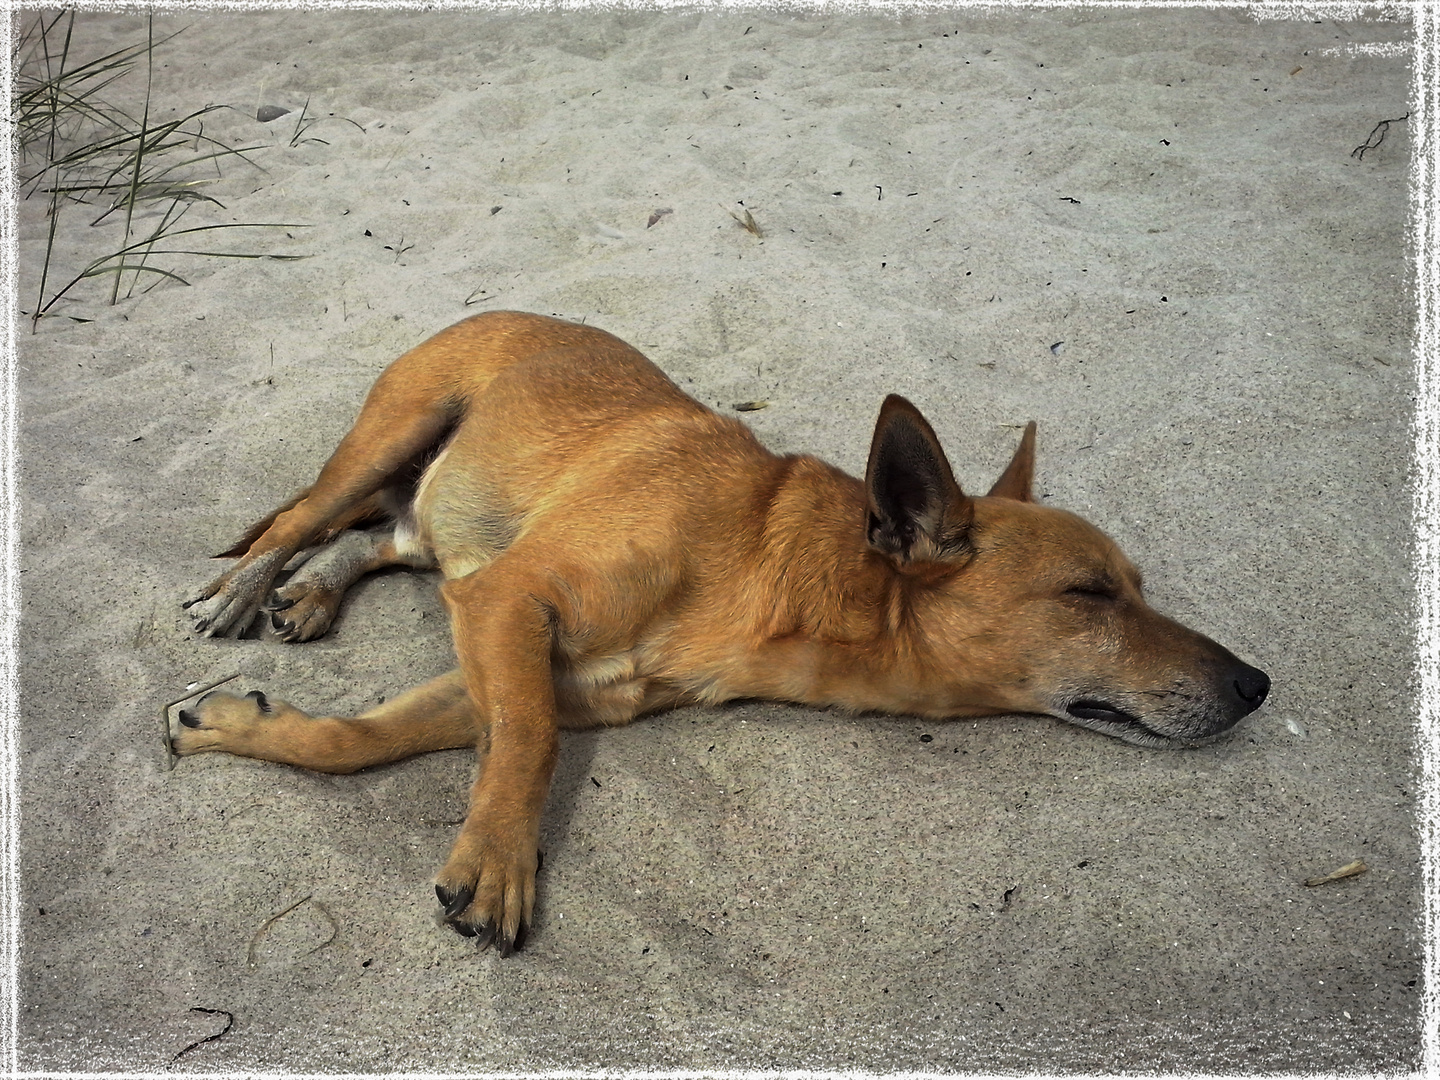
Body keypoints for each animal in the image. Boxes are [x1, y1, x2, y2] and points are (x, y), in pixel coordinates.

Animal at [177, 311, 1272, 956]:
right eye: (1091, 594)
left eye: (1138, 588)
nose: (1257, 685)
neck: (768, 568)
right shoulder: (512, 604)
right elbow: (525, 744)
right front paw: (500, 858)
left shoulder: (532, 662)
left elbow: (364, 739)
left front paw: (238, 728)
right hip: (391, 434)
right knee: (301, 519)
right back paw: (243, 587)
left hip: (432, 510)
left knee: (383, 538)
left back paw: (315, 593)